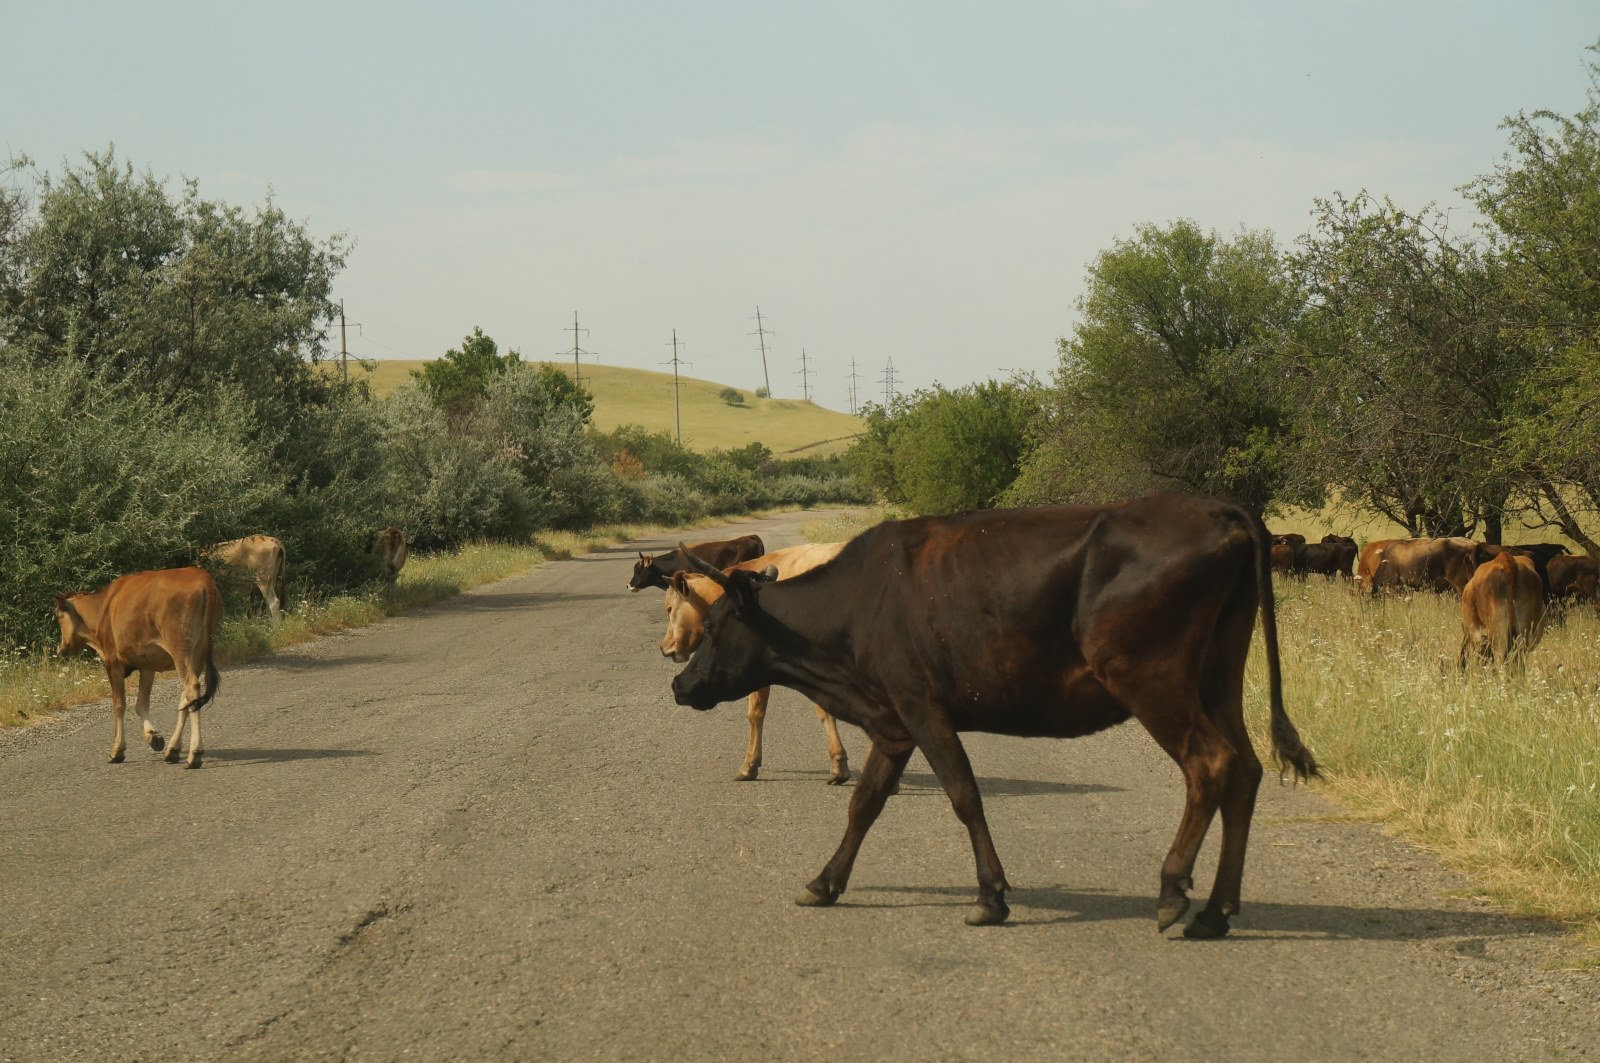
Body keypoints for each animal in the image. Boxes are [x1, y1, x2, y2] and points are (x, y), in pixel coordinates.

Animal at [54, 569, 222, 768]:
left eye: (58, 617)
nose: (61, 649)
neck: (102, 608)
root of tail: (203, 578)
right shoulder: (147, 665)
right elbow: (140, 704)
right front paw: (154, 737)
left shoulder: (113, 662)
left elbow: (119, 704)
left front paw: (117, 750)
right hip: (197, 653)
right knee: (187, 698)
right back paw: (173, 750)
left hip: (180, 649)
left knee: (191, 688)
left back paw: (194, 754)